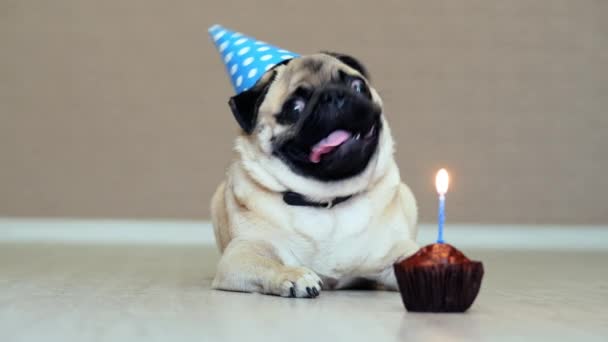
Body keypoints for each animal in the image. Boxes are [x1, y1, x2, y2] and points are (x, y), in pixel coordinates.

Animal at [210, 52, 418, 296]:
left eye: (358, 86)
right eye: (295, 109)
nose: (334, 95)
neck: (325, 201)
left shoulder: (397, 251)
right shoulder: (240, 254)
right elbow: (269, 264)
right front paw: (293, 275)